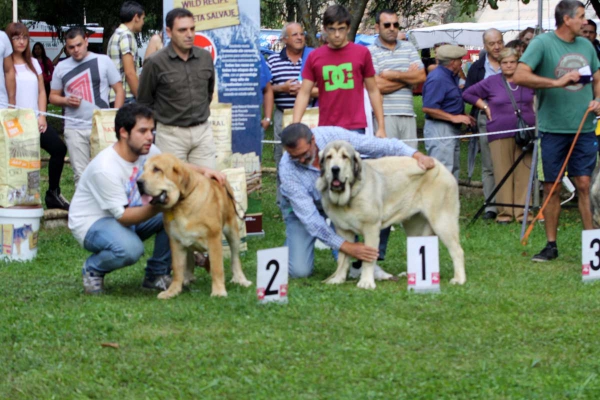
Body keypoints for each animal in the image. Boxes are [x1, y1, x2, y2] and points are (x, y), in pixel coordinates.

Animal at [138, 153, 251, 300]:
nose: (138, 182)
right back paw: (187, 278)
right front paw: (173, 291)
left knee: (235, 258)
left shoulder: (214, 239)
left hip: (233, 232)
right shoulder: (175, 241)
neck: (182, 202)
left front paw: (218, 291)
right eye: (144, 169)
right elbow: (177, 268)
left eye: (157, 169)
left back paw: (241, 280)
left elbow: (217, 268)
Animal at [316, 141, 466, 290]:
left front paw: (366, 282)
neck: (350, 195)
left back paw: (459, 279)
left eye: (345, 157)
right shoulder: (343, 230)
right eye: (329, 157)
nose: (335, 169)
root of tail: (441, 167)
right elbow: (343, 256)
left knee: (457, 251)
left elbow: (367, 260)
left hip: (443, 222)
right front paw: (338, 279)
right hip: (416, 227)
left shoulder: (371, 228)